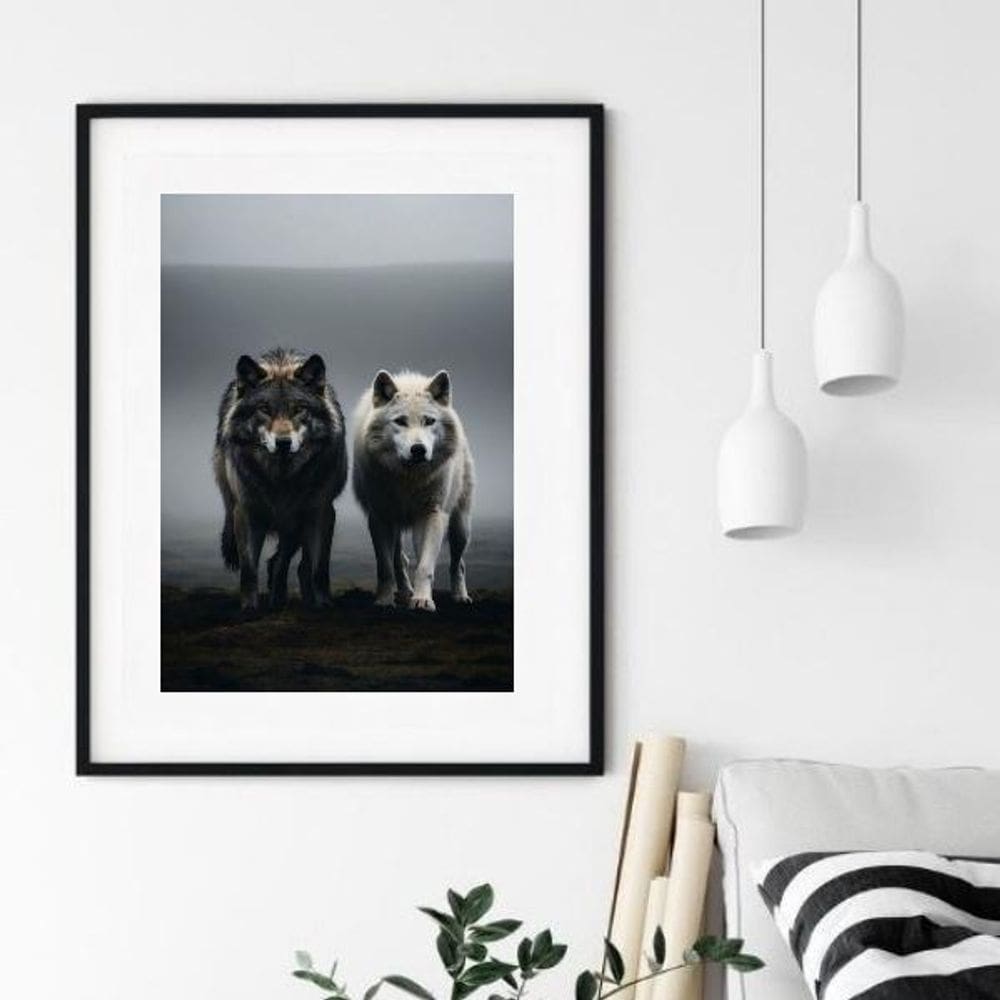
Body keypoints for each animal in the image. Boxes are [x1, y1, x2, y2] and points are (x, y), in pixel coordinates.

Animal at [213, 348, 347, 612]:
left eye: (299, 409)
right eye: (264, 409)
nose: (283, 443)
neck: (281, 479)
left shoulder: (321, 513)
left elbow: (319, 569)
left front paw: (323, 605)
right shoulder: (247, 513)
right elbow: (249, 570)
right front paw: (249, 609)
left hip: (295, 523)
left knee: (287, 563)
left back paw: (292, 600)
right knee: (278, 561)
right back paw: (277, 601)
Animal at [352, 369, 475, 612]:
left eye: (429, 421)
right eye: (400, 421)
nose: (418, 450)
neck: (407, 479)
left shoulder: (432, 515)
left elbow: (425, 566)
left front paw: (422, 600)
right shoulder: (380, 518)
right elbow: (385, 566)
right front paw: (384, 600)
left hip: (460, 527)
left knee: (458, 563)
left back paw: (460, 596)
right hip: (397, 523)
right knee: (400, 559)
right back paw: (404, 591)